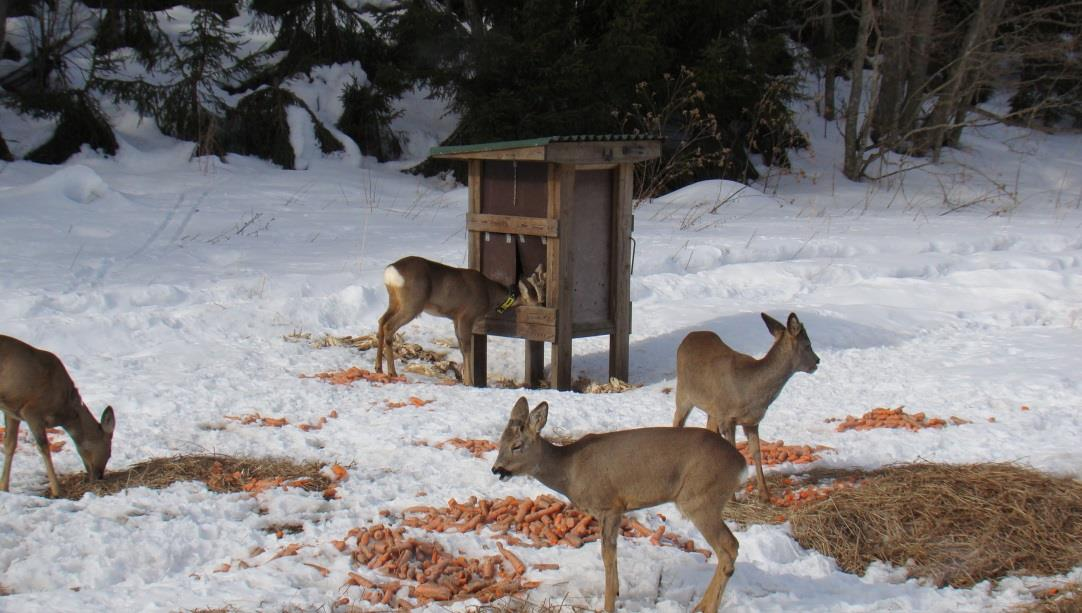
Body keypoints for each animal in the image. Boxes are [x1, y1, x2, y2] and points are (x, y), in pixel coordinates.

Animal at [0, 335, 116, 499]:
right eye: (110, 452)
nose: (99, 476)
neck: (64, 411)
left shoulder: (12, 411)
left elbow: (10, 444)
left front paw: (4, 488)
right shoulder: (32, 411)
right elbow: (44, 447)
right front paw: (57, 491)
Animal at [376, 256, 545, 387]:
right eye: (535, 298)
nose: (543, 304)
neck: (489, 295)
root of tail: (390, 272)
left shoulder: (455, 318)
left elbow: (462, 348)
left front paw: (465, 379)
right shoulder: (467, 315)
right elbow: (467, 347)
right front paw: (470, 382)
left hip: (395, 301)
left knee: (381, 321)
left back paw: (378, 368)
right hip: (412, 304)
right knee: (389, 326)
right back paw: (392, 372)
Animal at [491, 395, 744, 609]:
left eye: (516, 445)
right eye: (500, 441)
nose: (496, 469)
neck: (569, 470)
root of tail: (741, 464)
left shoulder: (610, 505)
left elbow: (607, 556)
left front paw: (609, 603)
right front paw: (617, 593)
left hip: (700, 500)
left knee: (729, 547)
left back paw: (705, 607)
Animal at [670, 313, 813, 505]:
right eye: (808, 344)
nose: (817, 361)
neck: (750, 391)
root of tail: (690, 336)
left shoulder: (751, 422)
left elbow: (756, 452)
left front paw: (765, 495)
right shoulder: (727, 418)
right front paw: (733, 498)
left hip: (712, 409)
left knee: (709, 429)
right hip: (684, 393)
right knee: (677, 422)